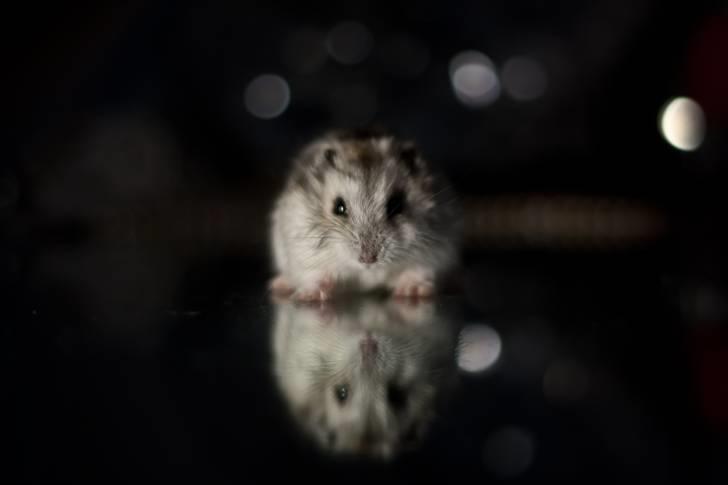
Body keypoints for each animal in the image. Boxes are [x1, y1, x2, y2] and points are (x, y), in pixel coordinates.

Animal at [269, 128, 460, 301]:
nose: (368, 259)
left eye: (396, 205)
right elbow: (316, 276)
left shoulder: (433, 254)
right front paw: (309, 296)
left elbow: (416, 272)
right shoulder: (304, 256)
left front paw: (413, 291)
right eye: (339, 207)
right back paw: (279, 284)